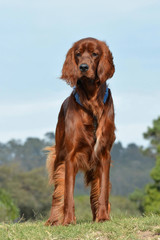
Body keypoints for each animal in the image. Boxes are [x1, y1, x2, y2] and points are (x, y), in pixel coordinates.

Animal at [45, 37, 115, 225]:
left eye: (95, 53)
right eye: (77, 54)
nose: (83, 67)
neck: (91, 102)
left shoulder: (104, 154)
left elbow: (103, 192)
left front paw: (103, 217)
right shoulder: (70, 156)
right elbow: (68, 193)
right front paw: (68, 220)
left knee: (96, 192)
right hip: (59, 157)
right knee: (58, 192)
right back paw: (54, 220)